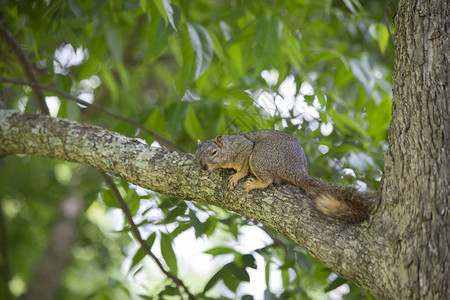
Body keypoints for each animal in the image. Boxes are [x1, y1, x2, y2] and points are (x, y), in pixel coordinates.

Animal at [195, 129, 370, 223]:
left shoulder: (244, 148)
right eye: (197, 154)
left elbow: (243, 166)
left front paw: (237, 176)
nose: (203, 166)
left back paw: (255, 183)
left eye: (214, 152)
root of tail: (297, 172)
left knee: (267, 180)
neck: (228, 147)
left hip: (260, 156)